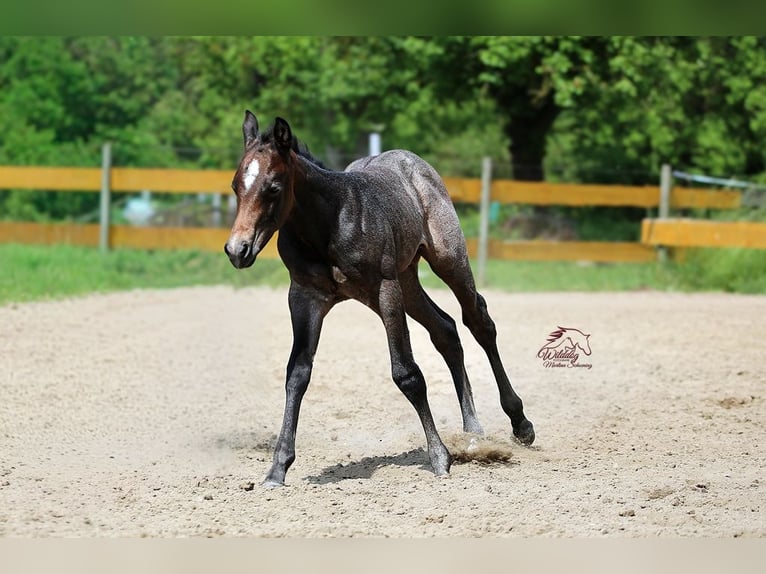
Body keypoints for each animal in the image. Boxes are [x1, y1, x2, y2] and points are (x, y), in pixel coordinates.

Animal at [224, 111, 535, 487]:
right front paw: (277, 468)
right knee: (445, 329)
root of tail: (413, 163)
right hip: (408, 281)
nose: (237, 250)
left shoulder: (385, 290)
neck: (328, 222)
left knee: (478, 321)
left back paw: (520, 423)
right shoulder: (304, 297)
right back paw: (473, 433)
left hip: (446, 261)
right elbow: (297, 374)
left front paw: (439, 457)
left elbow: (406, 373)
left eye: (273, 188)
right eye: (235, 186)